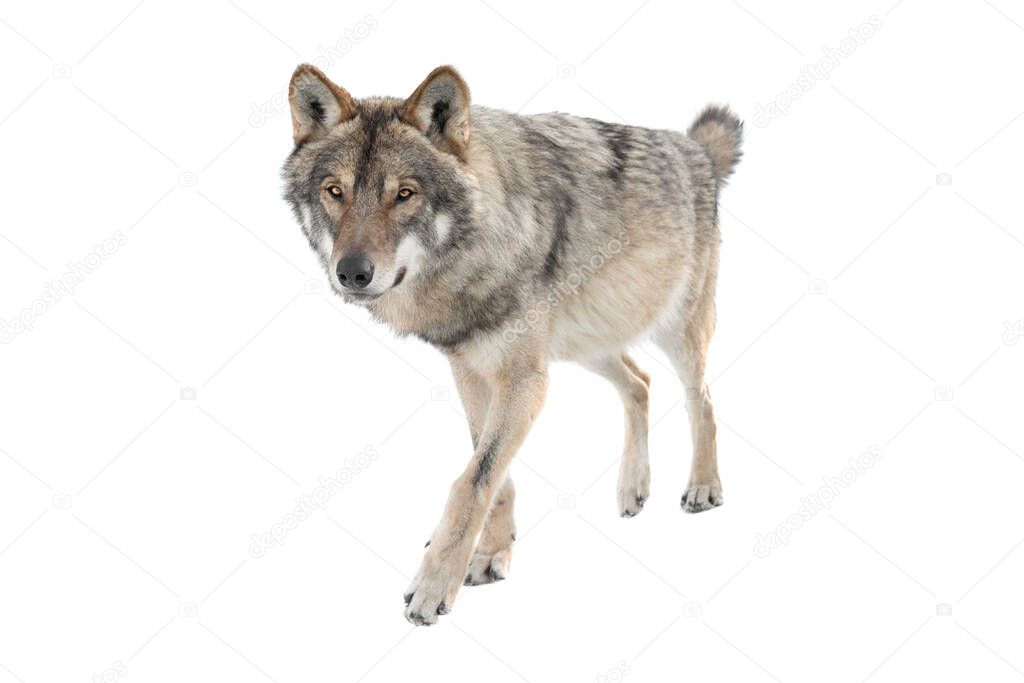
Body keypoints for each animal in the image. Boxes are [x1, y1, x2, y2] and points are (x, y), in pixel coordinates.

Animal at [282, 63, 745, 626]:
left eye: (405, 194)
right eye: (335, 191)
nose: (351, 272)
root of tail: (695, 149)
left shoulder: (523, 378)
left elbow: (472, 480)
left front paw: (434, 586)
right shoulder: (472, 370)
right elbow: (490, 471)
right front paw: (489, 553)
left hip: (674, 330)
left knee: (701, 400)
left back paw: (703, 486)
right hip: (584, 344)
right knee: (639, 382)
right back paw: (632, 488)